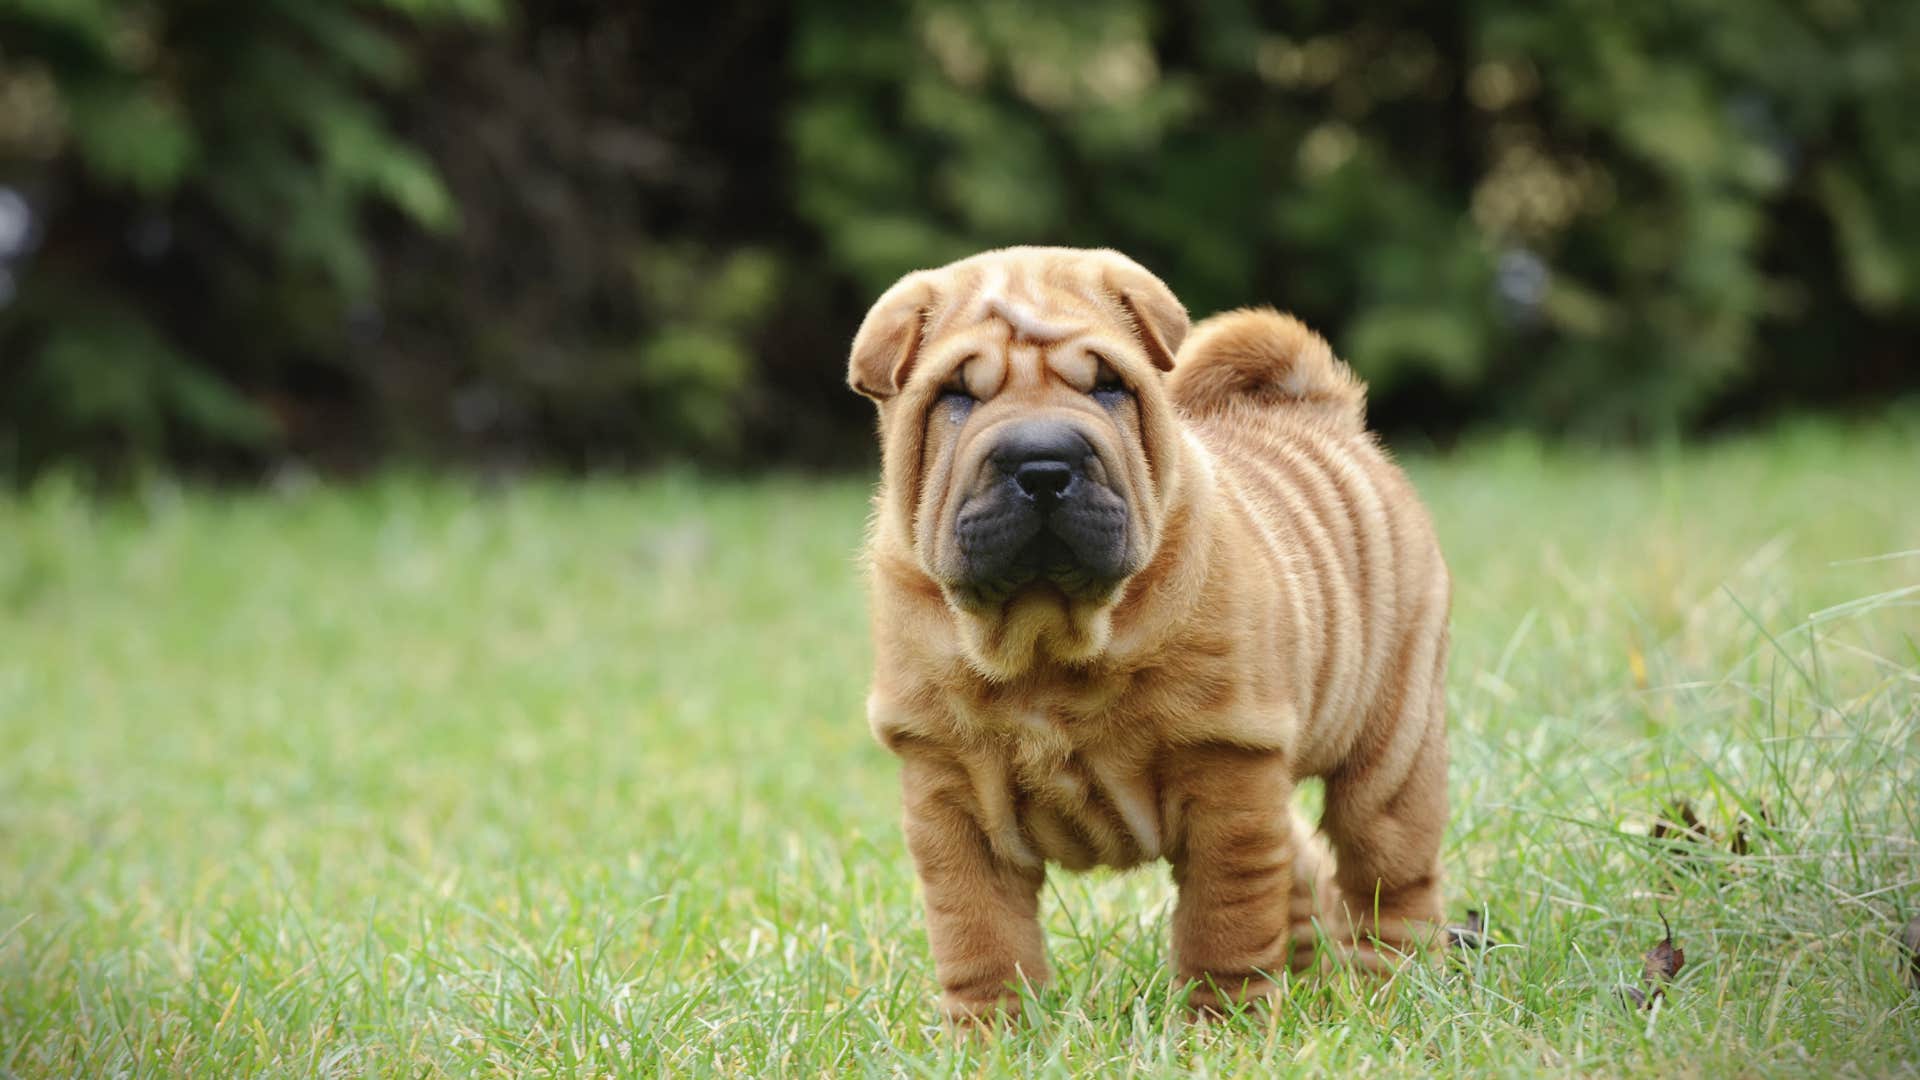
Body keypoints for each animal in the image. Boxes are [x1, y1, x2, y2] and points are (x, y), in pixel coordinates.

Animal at [848, 244, 1443, 1014]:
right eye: (958, 394)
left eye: (1108, 386)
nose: (1044, 464)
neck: (1046, 641)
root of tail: (1324, 414)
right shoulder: (947, 790)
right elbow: (980, 936)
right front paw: (993, 1030)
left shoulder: (1228, 764)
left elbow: (1224, 920)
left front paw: (1225, 1023)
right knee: (1302, 864)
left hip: (1394, 740)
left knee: (1387, 872)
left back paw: (1396, 990)